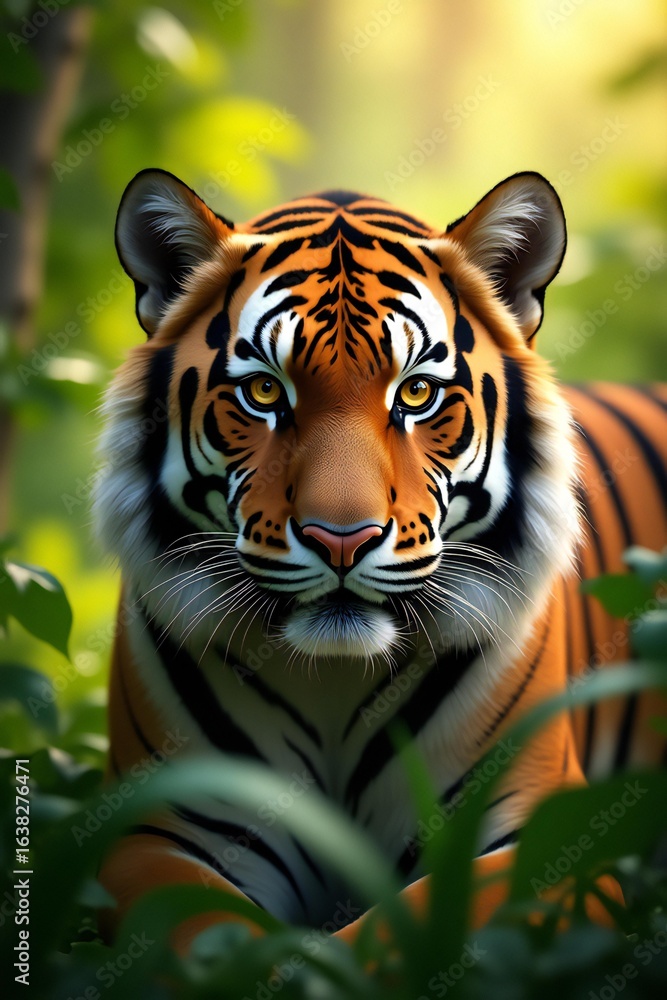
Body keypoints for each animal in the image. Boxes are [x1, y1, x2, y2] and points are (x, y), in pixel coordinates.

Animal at [93, 168, 667, 950]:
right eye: (264, 390)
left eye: (417, 393)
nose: (342, 539)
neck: (333, 680)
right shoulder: (161, 831)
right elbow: (219, 940)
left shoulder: (543, 832)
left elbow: (390, 938)